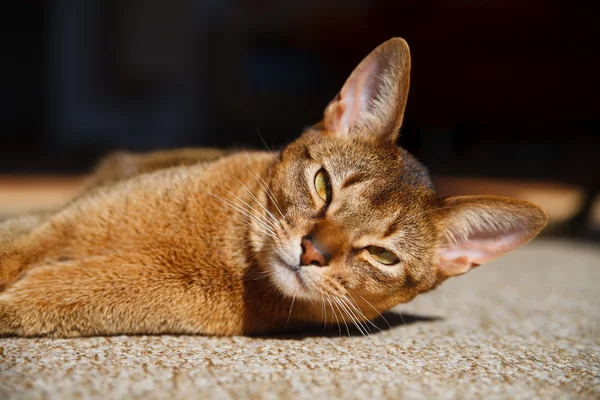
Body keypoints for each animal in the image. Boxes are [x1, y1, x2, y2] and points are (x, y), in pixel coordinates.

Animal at [0, 38, 548, 338]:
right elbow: (17, 245)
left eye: (383, 255)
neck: (223, 249)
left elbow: (32, 298)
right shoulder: (64, 222)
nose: (312, 251)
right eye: (324, 186)